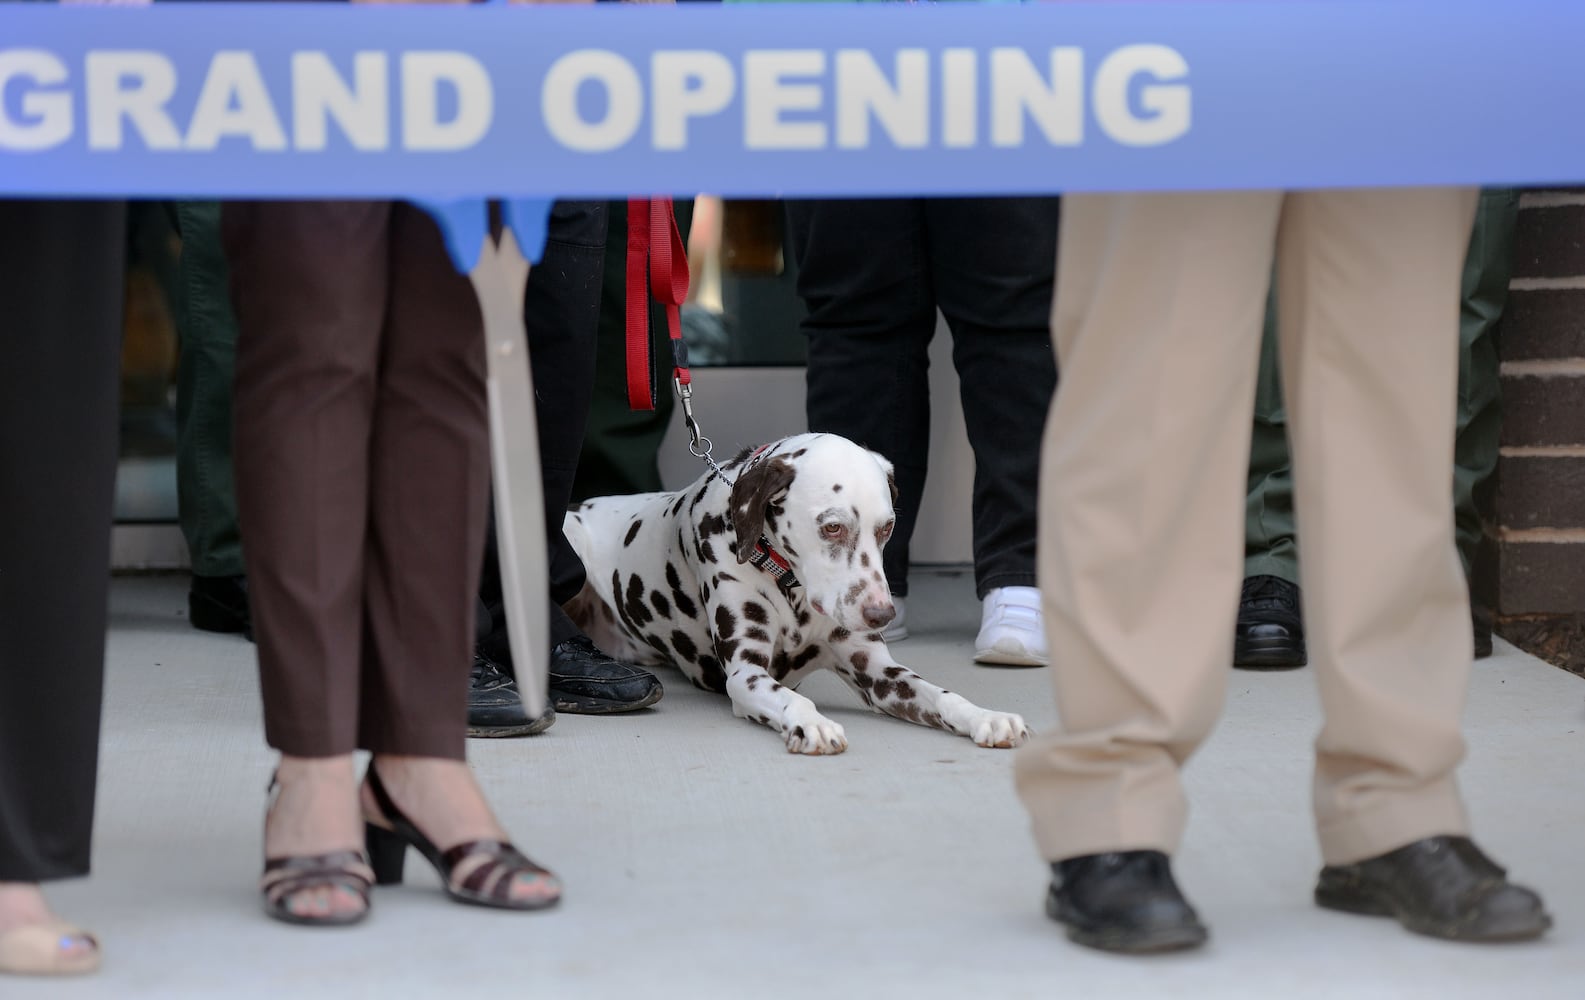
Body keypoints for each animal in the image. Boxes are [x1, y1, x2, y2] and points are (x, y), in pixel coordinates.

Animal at [564, 434, 1033, 754]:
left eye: (887, 528)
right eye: (833, 526)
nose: (881, 614)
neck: (789, 586)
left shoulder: (878, 674)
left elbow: (942, 695)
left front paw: (986, 717)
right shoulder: (746, 675)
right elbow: (789, 697)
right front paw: (813, 724)